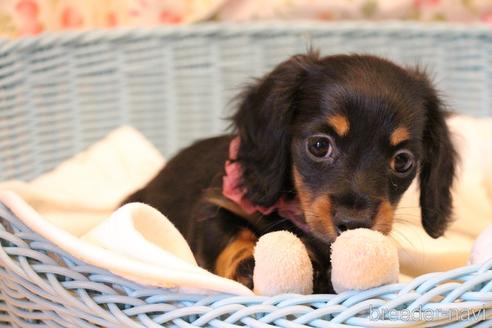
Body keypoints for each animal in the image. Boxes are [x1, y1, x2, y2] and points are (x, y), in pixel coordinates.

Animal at [124, 52, 458, 294]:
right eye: (320, 145)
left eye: (403, 161)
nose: (354, 224)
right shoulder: (215, 204)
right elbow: (232, 234)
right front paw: (250, 263)